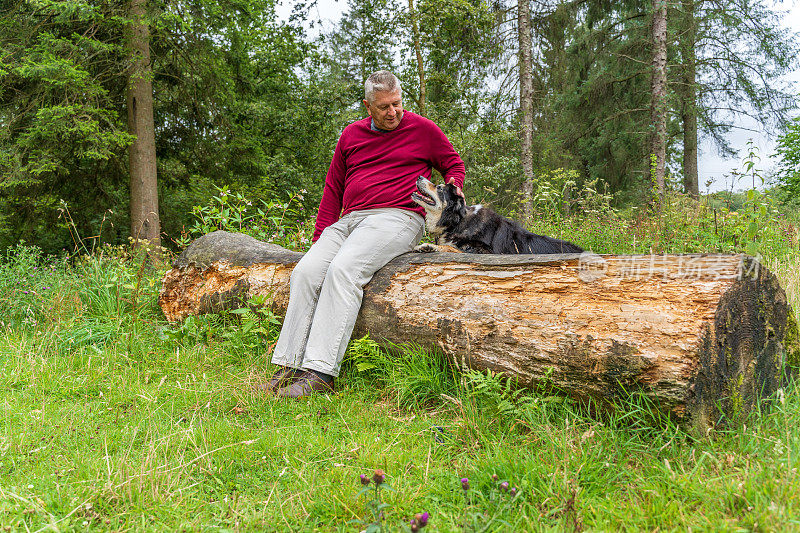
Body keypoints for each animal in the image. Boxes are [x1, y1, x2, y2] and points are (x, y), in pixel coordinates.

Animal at [412, 176, 580, 255]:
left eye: (439, 188)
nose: (419, 177)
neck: (457, 222)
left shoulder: (488, 251)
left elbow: (452, 248)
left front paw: (429, 246)